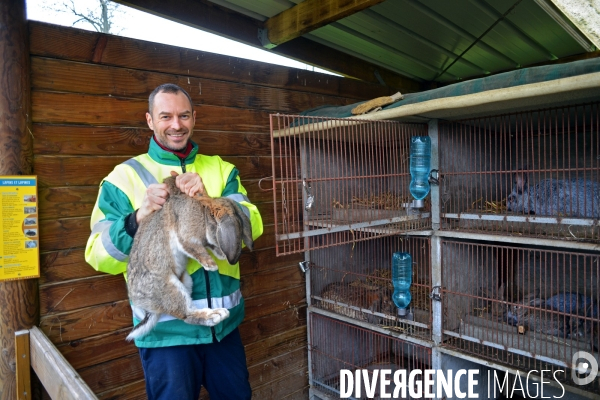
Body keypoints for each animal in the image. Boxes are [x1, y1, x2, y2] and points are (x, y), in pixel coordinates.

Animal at [125, 173, 252, 340]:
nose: (226, 255)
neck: (204, 210)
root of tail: (147, 307)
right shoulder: (188, 235)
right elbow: (194, 247)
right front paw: (211, 265)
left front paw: (218, 255)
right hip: (171, 289)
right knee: (186, 315)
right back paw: (216, 314)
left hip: (186, 280)